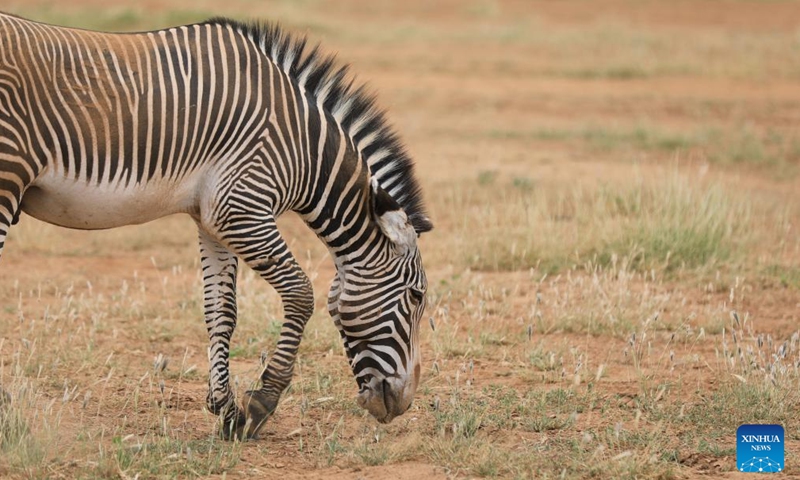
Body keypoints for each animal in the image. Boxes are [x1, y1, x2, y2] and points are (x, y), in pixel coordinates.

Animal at [0, 13, 433, 439]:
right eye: (416, 297)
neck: (304, 151)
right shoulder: (241, 208)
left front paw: (225, 410)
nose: (403, 403)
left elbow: (221, 309)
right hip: (7, 176)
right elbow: (300, 293)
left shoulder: (211, 219)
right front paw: (261, 402)